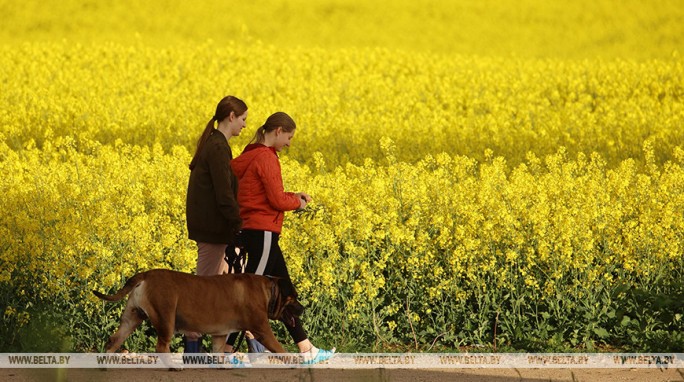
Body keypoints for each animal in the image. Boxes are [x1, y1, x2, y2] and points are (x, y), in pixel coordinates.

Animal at [92, 268, 304, 352]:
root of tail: (146, 275)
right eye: (294, 298)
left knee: (114, 340)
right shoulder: (263, 330)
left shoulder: (220, 335)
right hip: (166, 317)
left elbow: (219, 353)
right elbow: (280, 349)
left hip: (132, 317)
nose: (302, 308)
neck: (269, 290)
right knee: (161, 347)